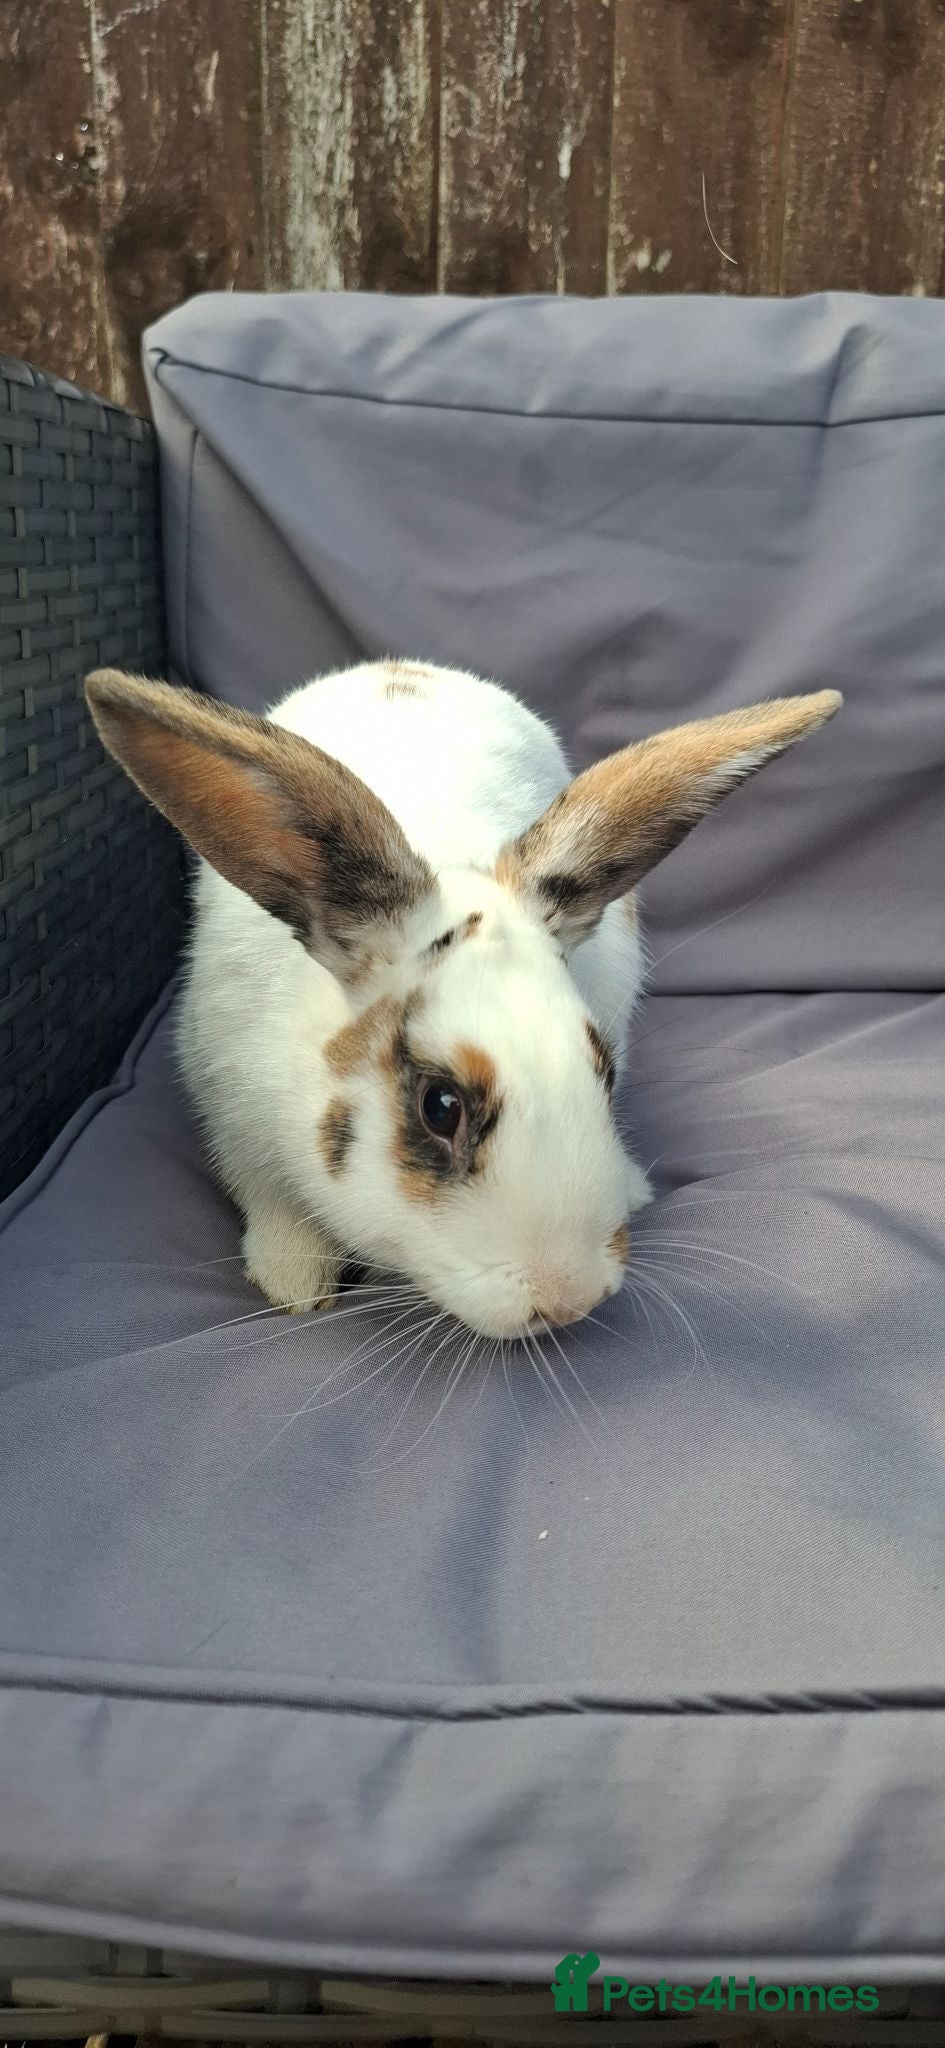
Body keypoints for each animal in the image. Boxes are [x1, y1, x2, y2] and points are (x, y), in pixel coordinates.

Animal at [85, 660, 840, 1339]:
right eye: (439, 1107)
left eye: (603, 1076)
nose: (569, 1301)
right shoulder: (230, 1108)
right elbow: (275, 1205)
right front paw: (295, 1283)